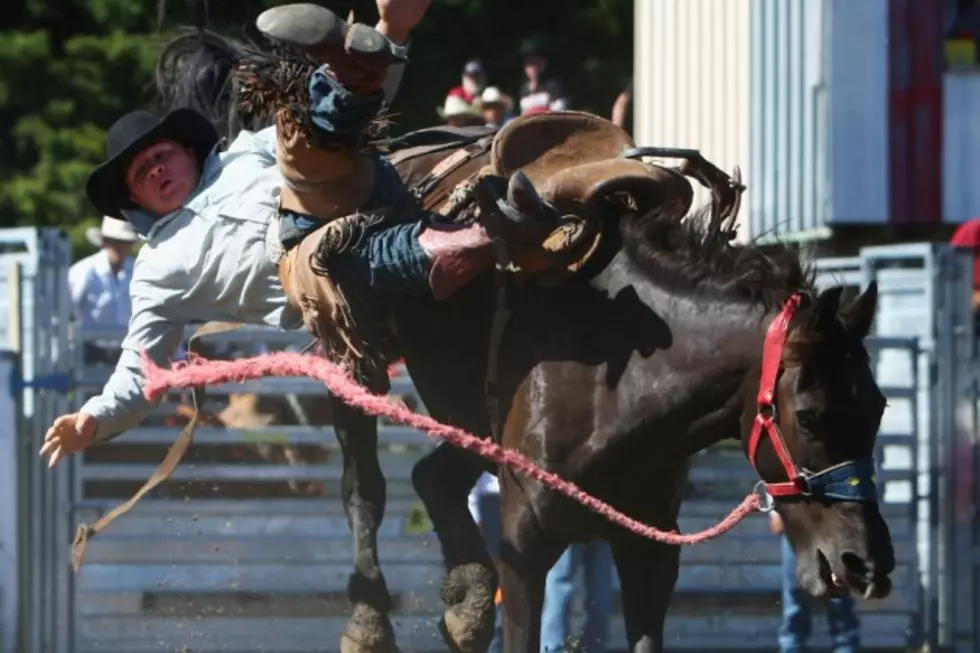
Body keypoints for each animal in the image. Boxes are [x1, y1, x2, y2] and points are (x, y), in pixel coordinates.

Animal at [92, 15, 896, 652]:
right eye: (812, 414)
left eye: (880, 409)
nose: (868, 565)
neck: (629, 382)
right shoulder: (527, 544)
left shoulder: (650, 552)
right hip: (347, 345)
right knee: (367, 488)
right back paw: (372, 621)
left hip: (464, 404)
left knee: (431, 477)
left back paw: (465, 604)